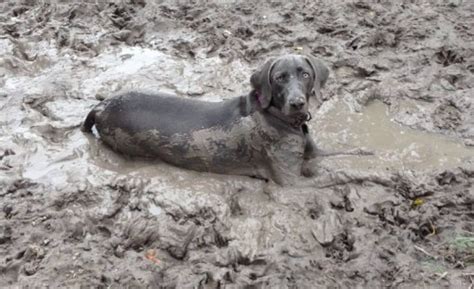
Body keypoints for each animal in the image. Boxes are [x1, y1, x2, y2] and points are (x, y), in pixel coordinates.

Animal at [81, 54, 334, 184]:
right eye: (280, 78)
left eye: (305, 74)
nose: (297, 103)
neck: (278, 116)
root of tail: (100, 106)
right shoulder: (291, 181)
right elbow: (331, 177)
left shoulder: (316, 152)